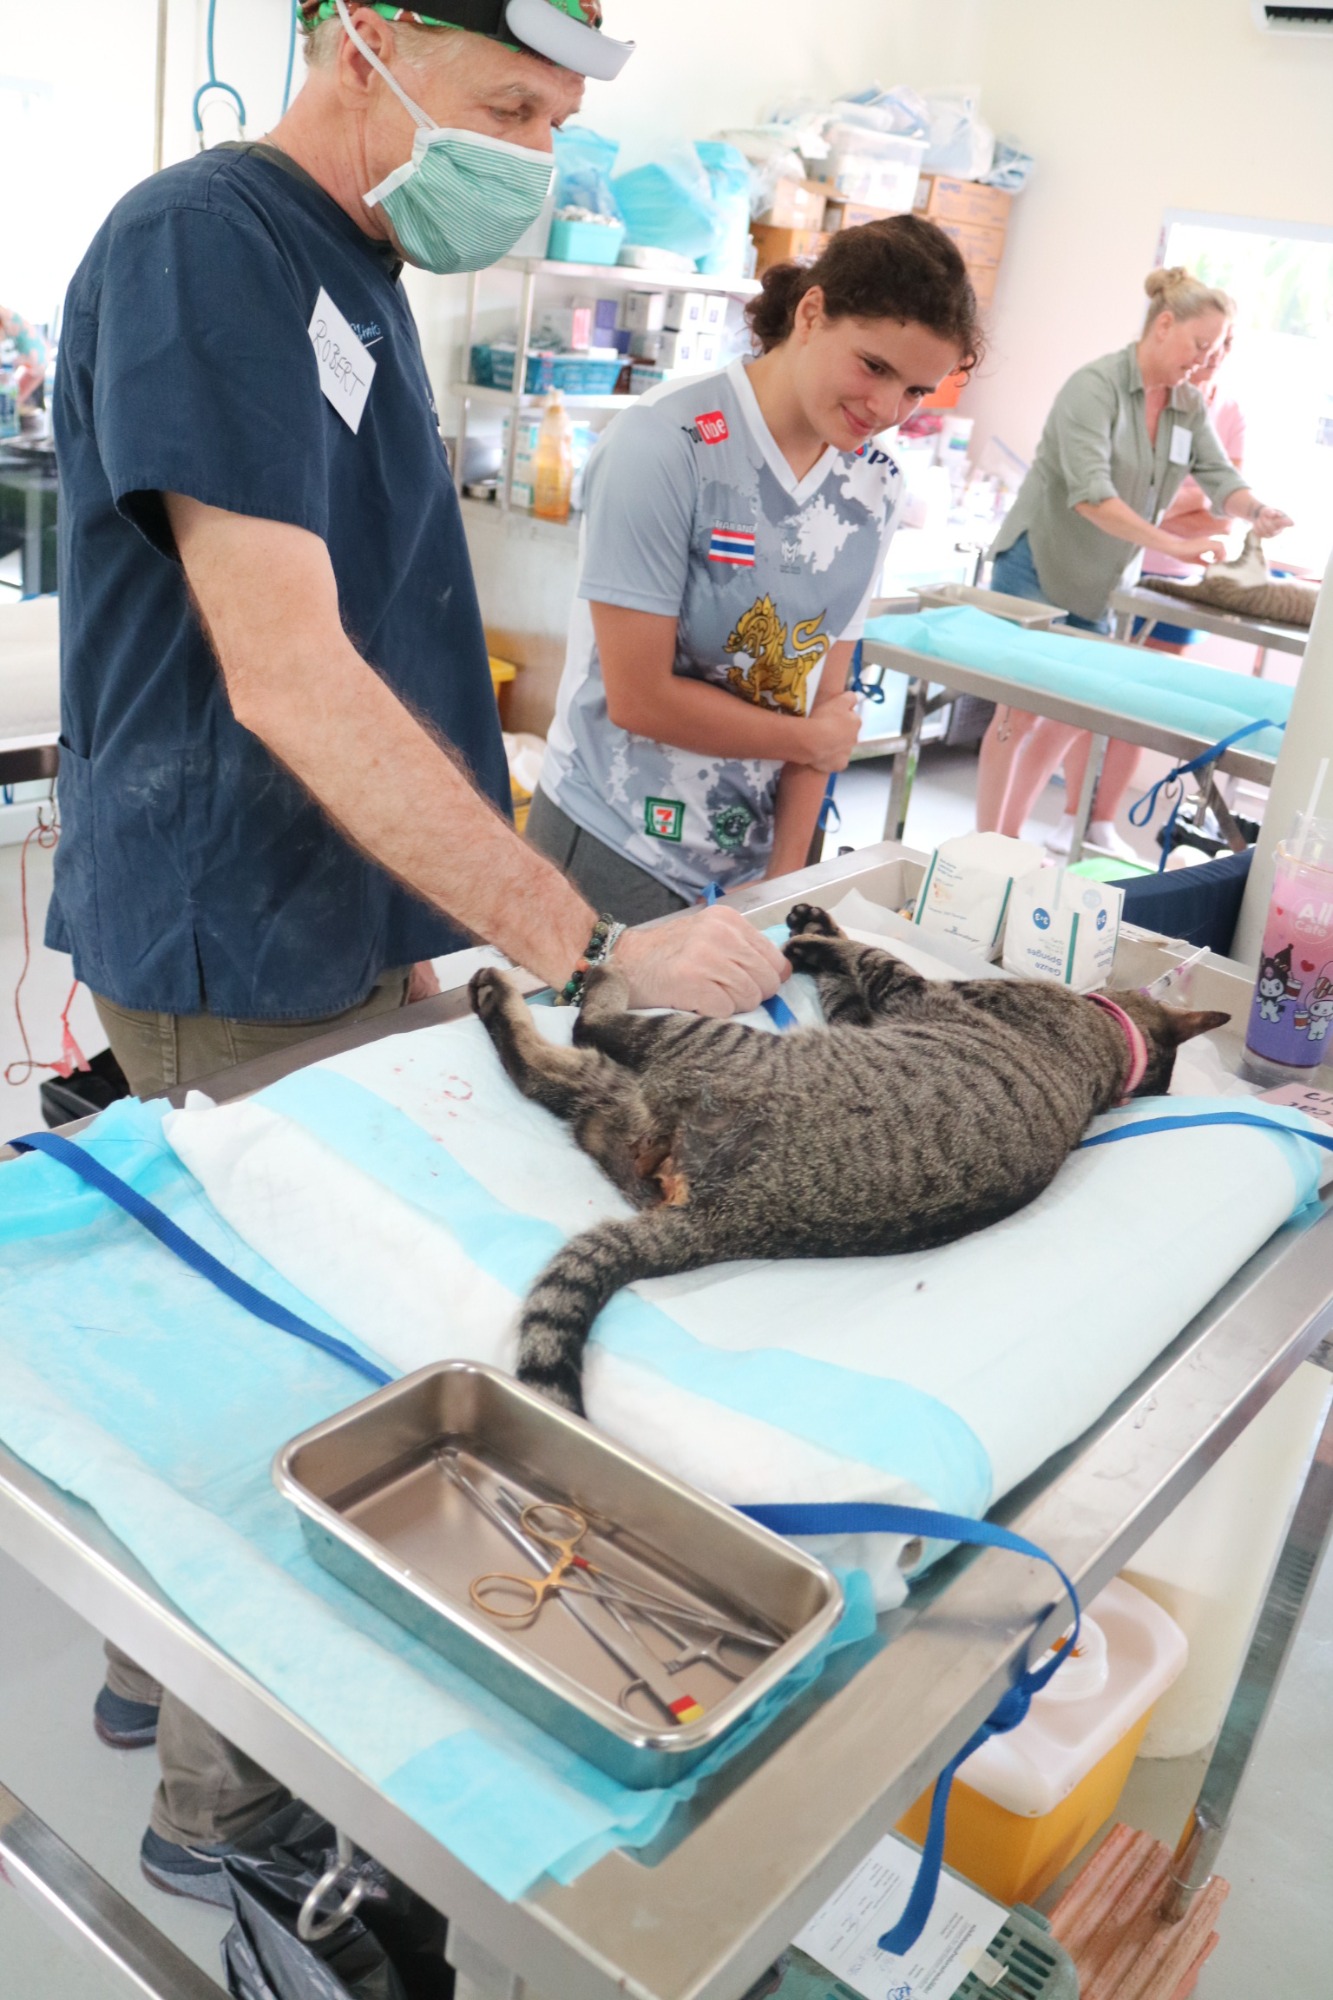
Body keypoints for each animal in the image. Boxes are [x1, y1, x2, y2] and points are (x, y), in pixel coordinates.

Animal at [469, 903, 1230, 1416]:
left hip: (703, 1045)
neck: (1110, 1052)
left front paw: (813, 938)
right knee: (555, 1080)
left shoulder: (911, 992)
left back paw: (546, 986)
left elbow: (865, 954)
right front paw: (814, 931)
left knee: (586, 1029)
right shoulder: (865, 1017)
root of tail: (726, 1220)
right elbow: (844, 979)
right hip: (628, 1103)